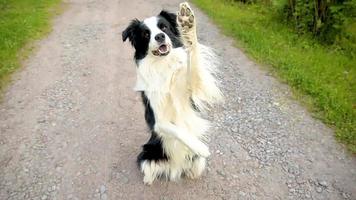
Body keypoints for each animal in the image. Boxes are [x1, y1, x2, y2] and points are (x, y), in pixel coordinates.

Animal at [123, 2, 222, 184]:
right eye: (146, 34)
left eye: (164, 27)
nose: (159, 36)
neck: (163, 65)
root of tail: (176, 167)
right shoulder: (158, 121)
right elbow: (178, 130)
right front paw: (200, 146)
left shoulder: (195, 85)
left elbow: (193, 57)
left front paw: (187, 22)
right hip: (146, 155)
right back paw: (148, 180)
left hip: (198, 162)